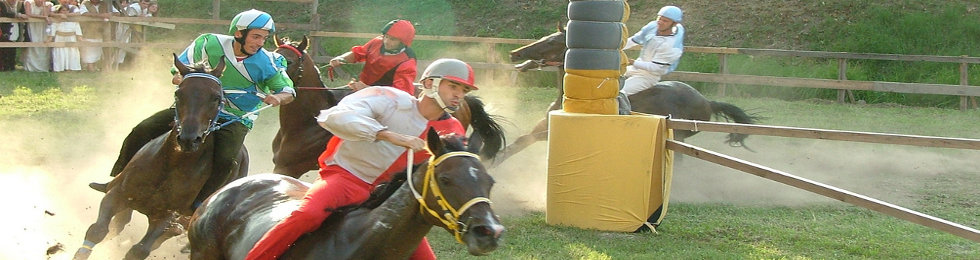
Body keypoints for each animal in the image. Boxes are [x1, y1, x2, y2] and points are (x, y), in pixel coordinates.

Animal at [73, 55, 249, 258]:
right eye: (179, 94)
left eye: (216, 98)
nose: (189, 139)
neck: (169, 166)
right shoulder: (116, 194)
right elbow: (98, 230)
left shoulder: (165, 218)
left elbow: (139, 250)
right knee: (119, 224)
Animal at [498, 26, 756, 165]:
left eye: (552, 40)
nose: (514, 53)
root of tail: (707, 101)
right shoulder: (541, 128)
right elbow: (518, 143)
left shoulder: (552, 132)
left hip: (680, 135)